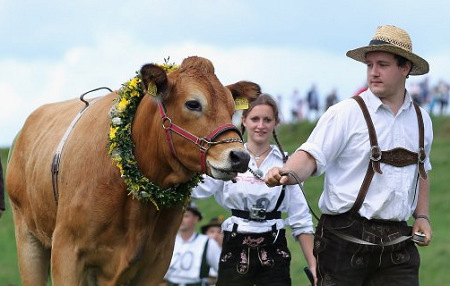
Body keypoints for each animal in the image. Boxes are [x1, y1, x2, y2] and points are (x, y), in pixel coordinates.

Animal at [6, 56, 260, 286]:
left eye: (232, 109)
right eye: (193, 103)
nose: (240, 157)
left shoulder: (156, 262)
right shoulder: (67, 251)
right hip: (28, 238)